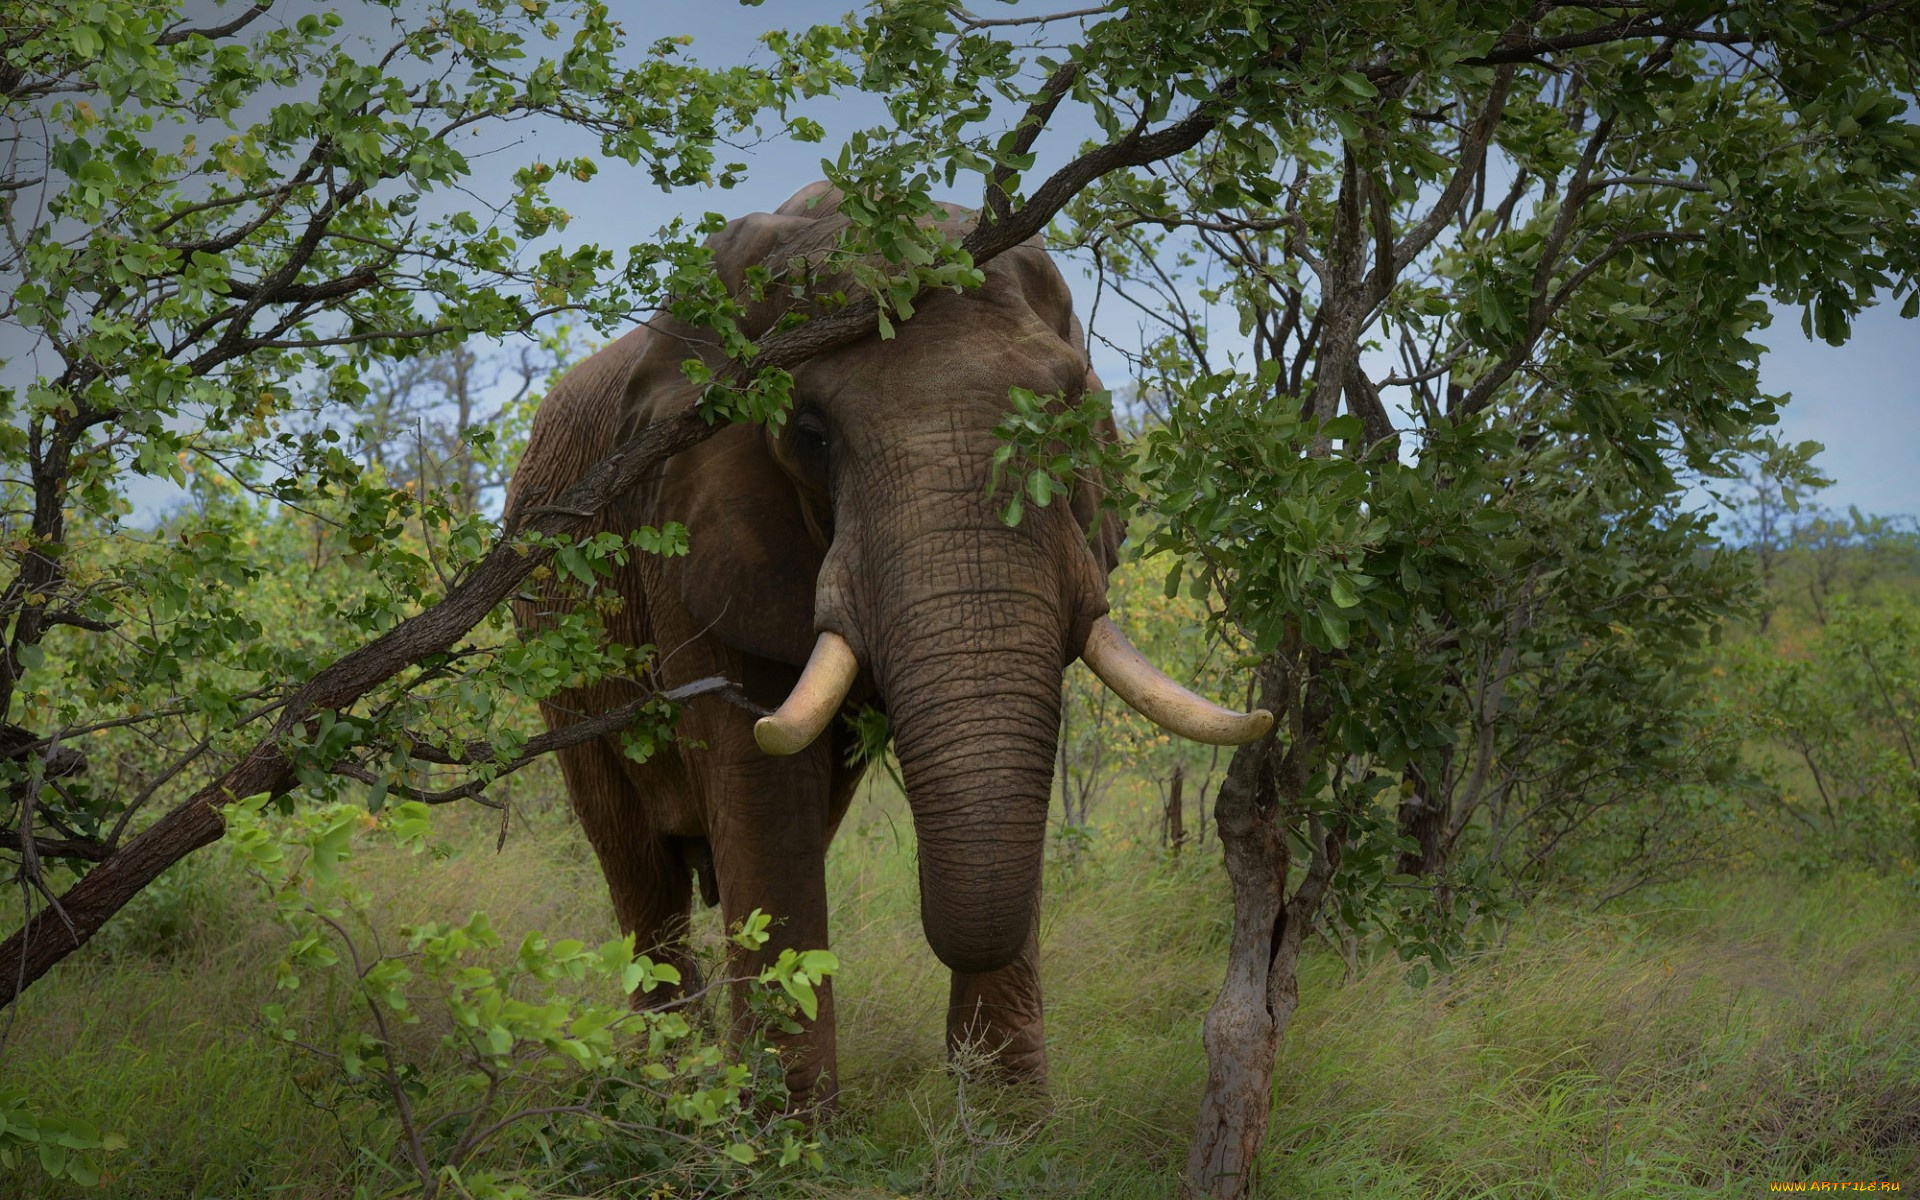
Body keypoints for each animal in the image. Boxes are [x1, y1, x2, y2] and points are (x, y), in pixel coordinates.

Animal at [503, 182, 1267, 1105]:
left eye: (1070, 414)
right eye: (810, 433)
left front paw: (1006, 1126)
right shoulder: (687, 533)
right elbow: (760, 775)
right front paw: (782, 1126)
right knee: (641, 870)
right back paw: (674, 1086)